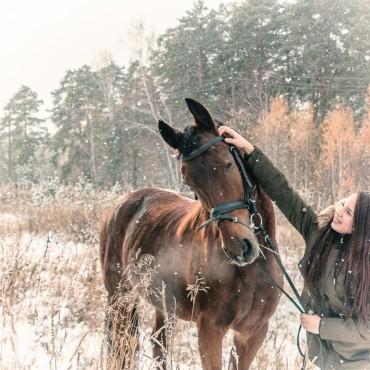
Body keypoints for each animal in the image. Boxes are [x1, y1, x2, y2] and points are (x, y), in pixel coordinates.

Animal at [99, 99, 282, 370]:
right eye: (190, 182)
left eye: (228, 163)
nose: (239, 248)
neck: (251, 271)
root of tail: (121, 204)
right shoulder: (210, 330)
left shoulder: (253, 332)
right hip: (120, 297)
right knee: (124, 346)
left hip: (164, 305)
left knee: (159, 344)